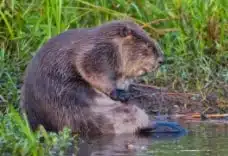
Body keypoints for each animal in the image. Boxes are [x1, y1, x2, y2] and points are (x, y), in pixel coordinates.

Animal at [20, 19, 164, 138]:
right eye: (148, 46)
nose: (162, 60)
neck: (110, 41)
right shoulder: (95, 53)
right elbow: (90, 70)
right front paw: (121, 94)